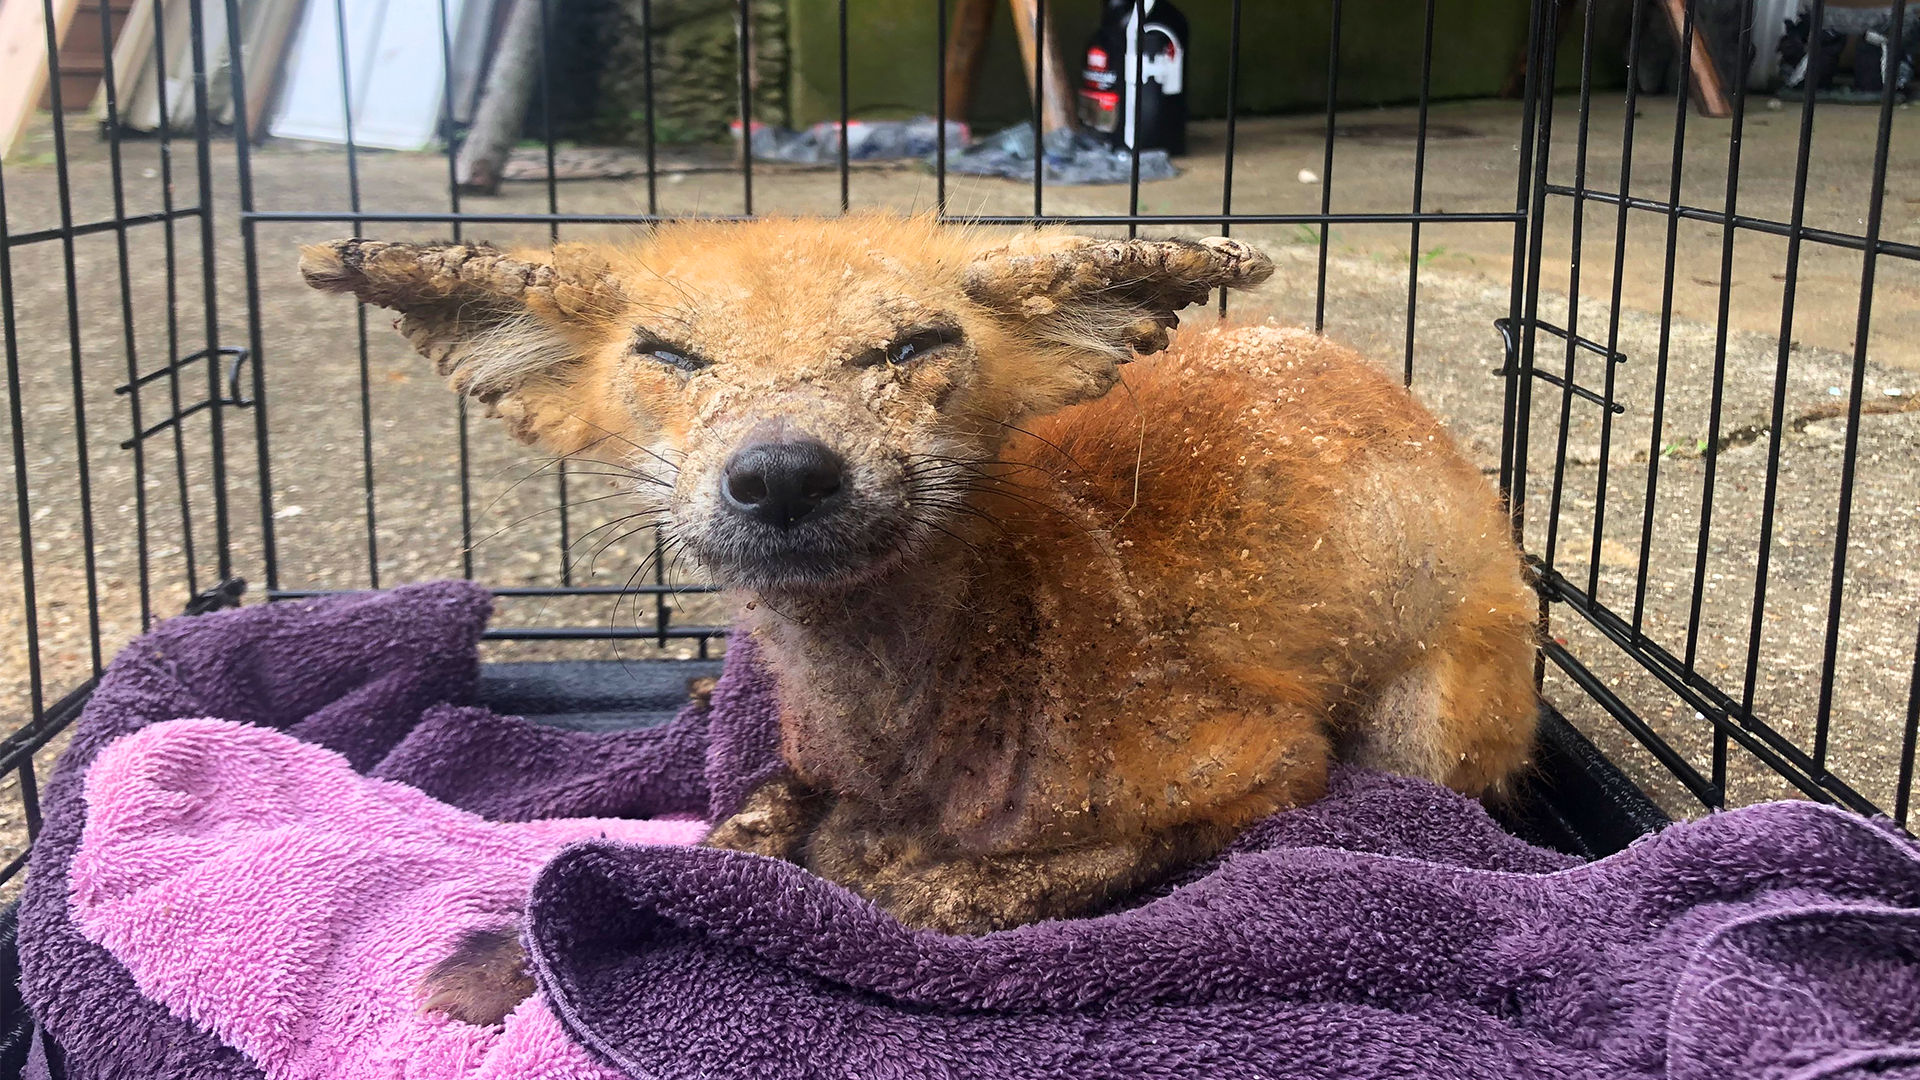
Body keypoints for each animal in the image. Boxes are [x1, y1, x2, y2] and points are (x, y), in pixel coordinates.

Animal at [301, 214, 1539, 1024]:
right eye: (669, 354)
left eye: (912, 347)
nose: (783, 473)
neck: (911, 740)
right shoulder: (804, 759)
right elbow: (725, 834)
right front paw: (516, 956)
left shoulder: (1263, 766)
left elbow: (930, 901)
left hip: (1423, 736)